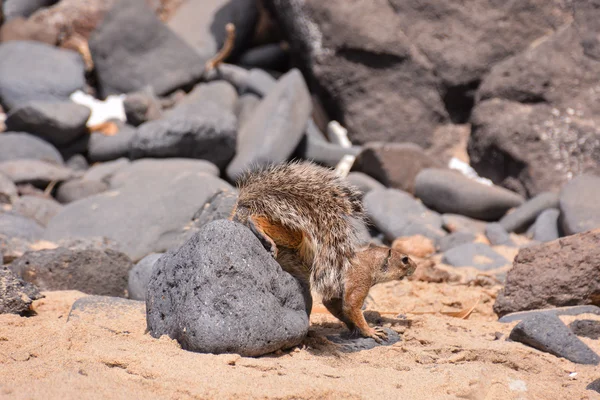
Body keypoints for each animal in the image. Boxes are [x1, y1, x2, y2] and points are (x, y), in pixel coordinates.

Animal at [230, 160, 418, 340]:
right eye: (405, 259)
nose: (416, 267)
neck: (369, 261)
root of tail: (242, 206)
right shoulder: (359, 279)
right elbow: (351, 306)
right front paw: (370, 331)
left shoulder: (335, 294)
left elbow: (335, 307)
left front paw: (353, 328)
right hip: (293, 233)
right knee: (257, 220)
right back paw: (260, 231)